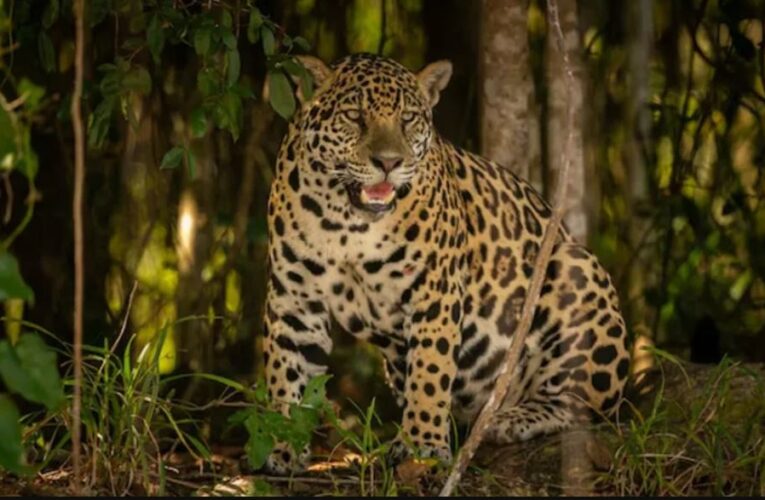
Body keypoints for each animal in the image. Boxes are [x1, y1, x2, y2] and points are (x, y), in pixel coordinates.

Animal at [262, 52, 631, 473]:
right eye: (354, 116)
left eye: (407, 119)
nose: (388, 162)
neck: (347, 223)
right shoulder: (294, 300)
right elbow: (286, 373)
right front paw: (283, 444)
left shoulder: (433, 290)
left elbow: (430, 371)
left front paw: (422, 445)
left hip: (576, 269)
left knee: (582, 405)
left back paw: (510, 419)